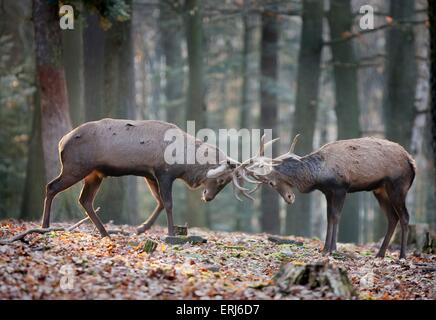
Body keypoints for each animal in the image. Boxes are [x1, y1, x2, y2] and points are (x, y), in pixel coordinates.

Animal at [41, 119, 254, 236]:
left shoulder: (150, 175)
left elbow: (159, 202)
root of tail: (61, 142)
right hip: (76, 167)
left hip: (94, 173)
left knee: (84, 200)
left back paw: (105, 233)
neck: (185, 162)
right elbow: (168, 203)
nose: (208, 197)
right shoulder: (164, 172)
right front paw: (171, 233)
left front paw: (141, 228)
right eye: (221, 180)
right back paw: (45, 226)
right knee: (51, 186)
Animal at [245, 134, 416, 258]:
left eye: (271, 183)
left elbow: (335, 216)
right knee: (392, 217)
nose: (289, 198)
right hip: (380, 190)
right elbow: (328, 217)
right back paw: (380, 254)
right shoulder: (328, 192)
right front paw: (325, 248)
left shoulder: (341, 188)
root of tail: (412, 162)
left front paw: (332, 249)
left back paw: (402, 256)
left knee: (404, 216)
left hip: (398, 186)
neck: (318, 175)